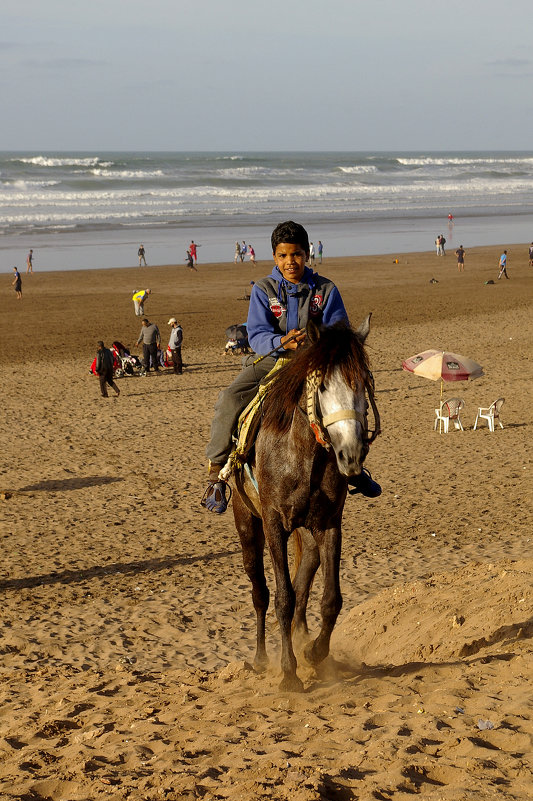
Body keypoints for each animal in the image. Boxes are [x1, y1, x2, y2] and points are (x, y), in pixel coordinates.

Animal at [232, 316, 378, 692]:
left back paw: (302, 638)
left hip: (307, 532)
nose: (351, 454)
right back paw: (260, 658)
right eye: (321, 386)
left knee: (305, 574)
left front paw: (314, 653)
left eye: (363, 384)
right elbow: (281, 597)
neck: (303, 453)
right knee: (260, 591)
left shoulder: (329, 523)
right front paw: (288, 673)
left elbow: (331, 599)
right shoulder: (273, 523)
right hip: (247, 524)